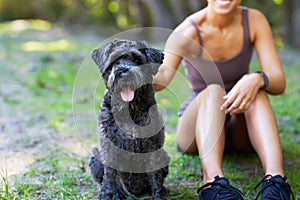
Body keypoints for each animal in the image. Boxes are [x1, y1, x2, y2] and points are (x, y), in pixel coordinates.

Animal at [88, 39, 170, 200]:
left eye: (138, 60)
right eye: (114, 61)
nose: (124, 72)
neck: (130, 111)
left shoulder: (153, 148)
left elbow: (155, 178)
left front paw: (158, 195)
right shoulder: (109, 148)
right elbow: (109, 178)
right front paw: (106, 195)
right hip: (95, 157)